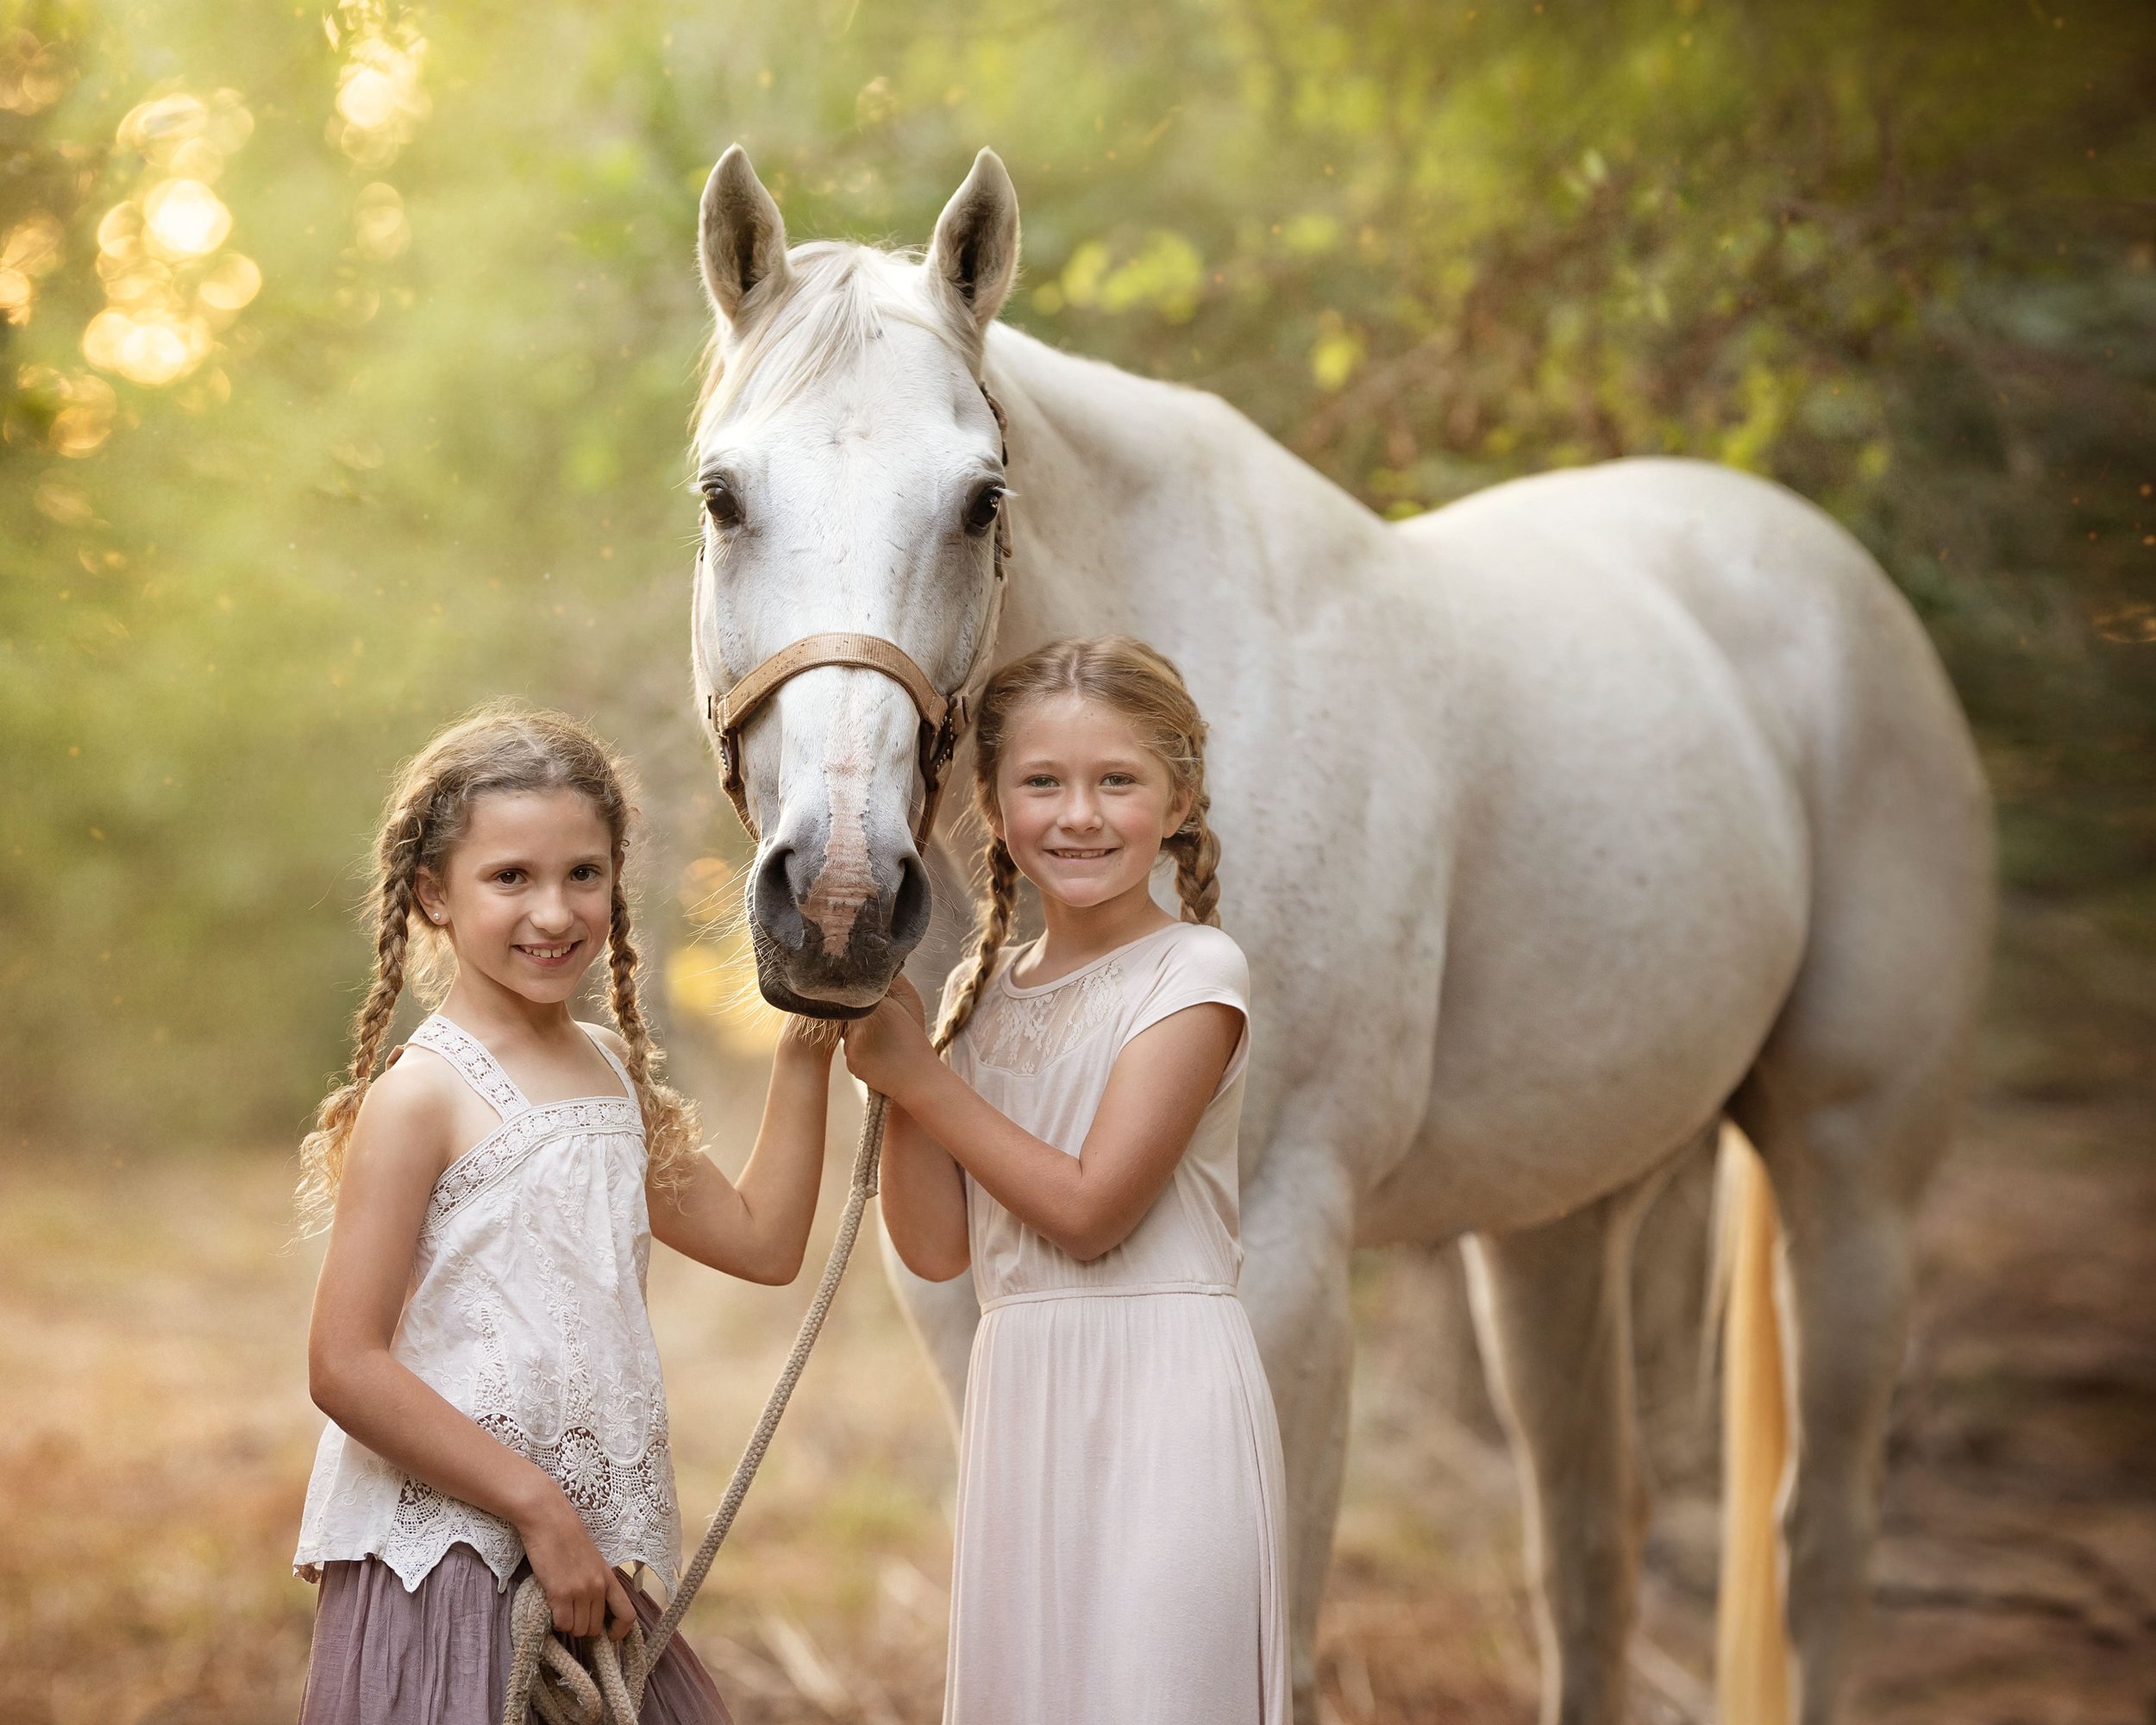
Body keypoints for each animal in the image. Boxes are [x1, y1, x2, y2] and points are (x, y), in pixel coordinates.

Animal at [681, 141, 1992, 1716]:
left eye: (982, 501)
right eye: (722, 497)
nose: (839, 902)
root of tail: (1835, 582)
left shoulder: (1294, 1263)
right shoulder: (957, 1290)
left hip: (1850, 1176)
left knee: (1821, 1544)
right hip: (1555, 1225)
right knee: (1590, 1540)